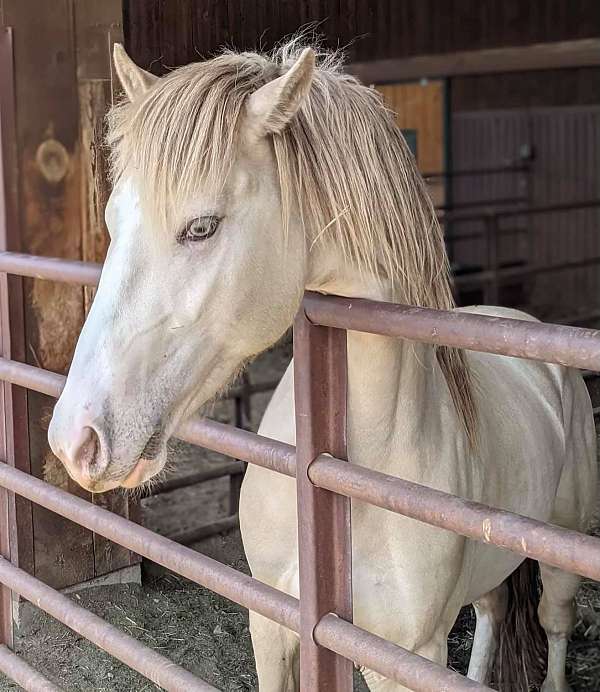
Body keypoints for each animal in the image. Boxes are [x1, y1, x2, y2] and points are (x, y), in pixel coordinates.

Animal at [49, 39, 596, 692]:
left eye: (201, 227)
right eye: (113, 222)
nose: (74, 440)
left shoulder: (404, 656)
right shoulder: (271, 623)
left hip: (562, 555)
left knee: (555, 628)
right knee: (491, 616)